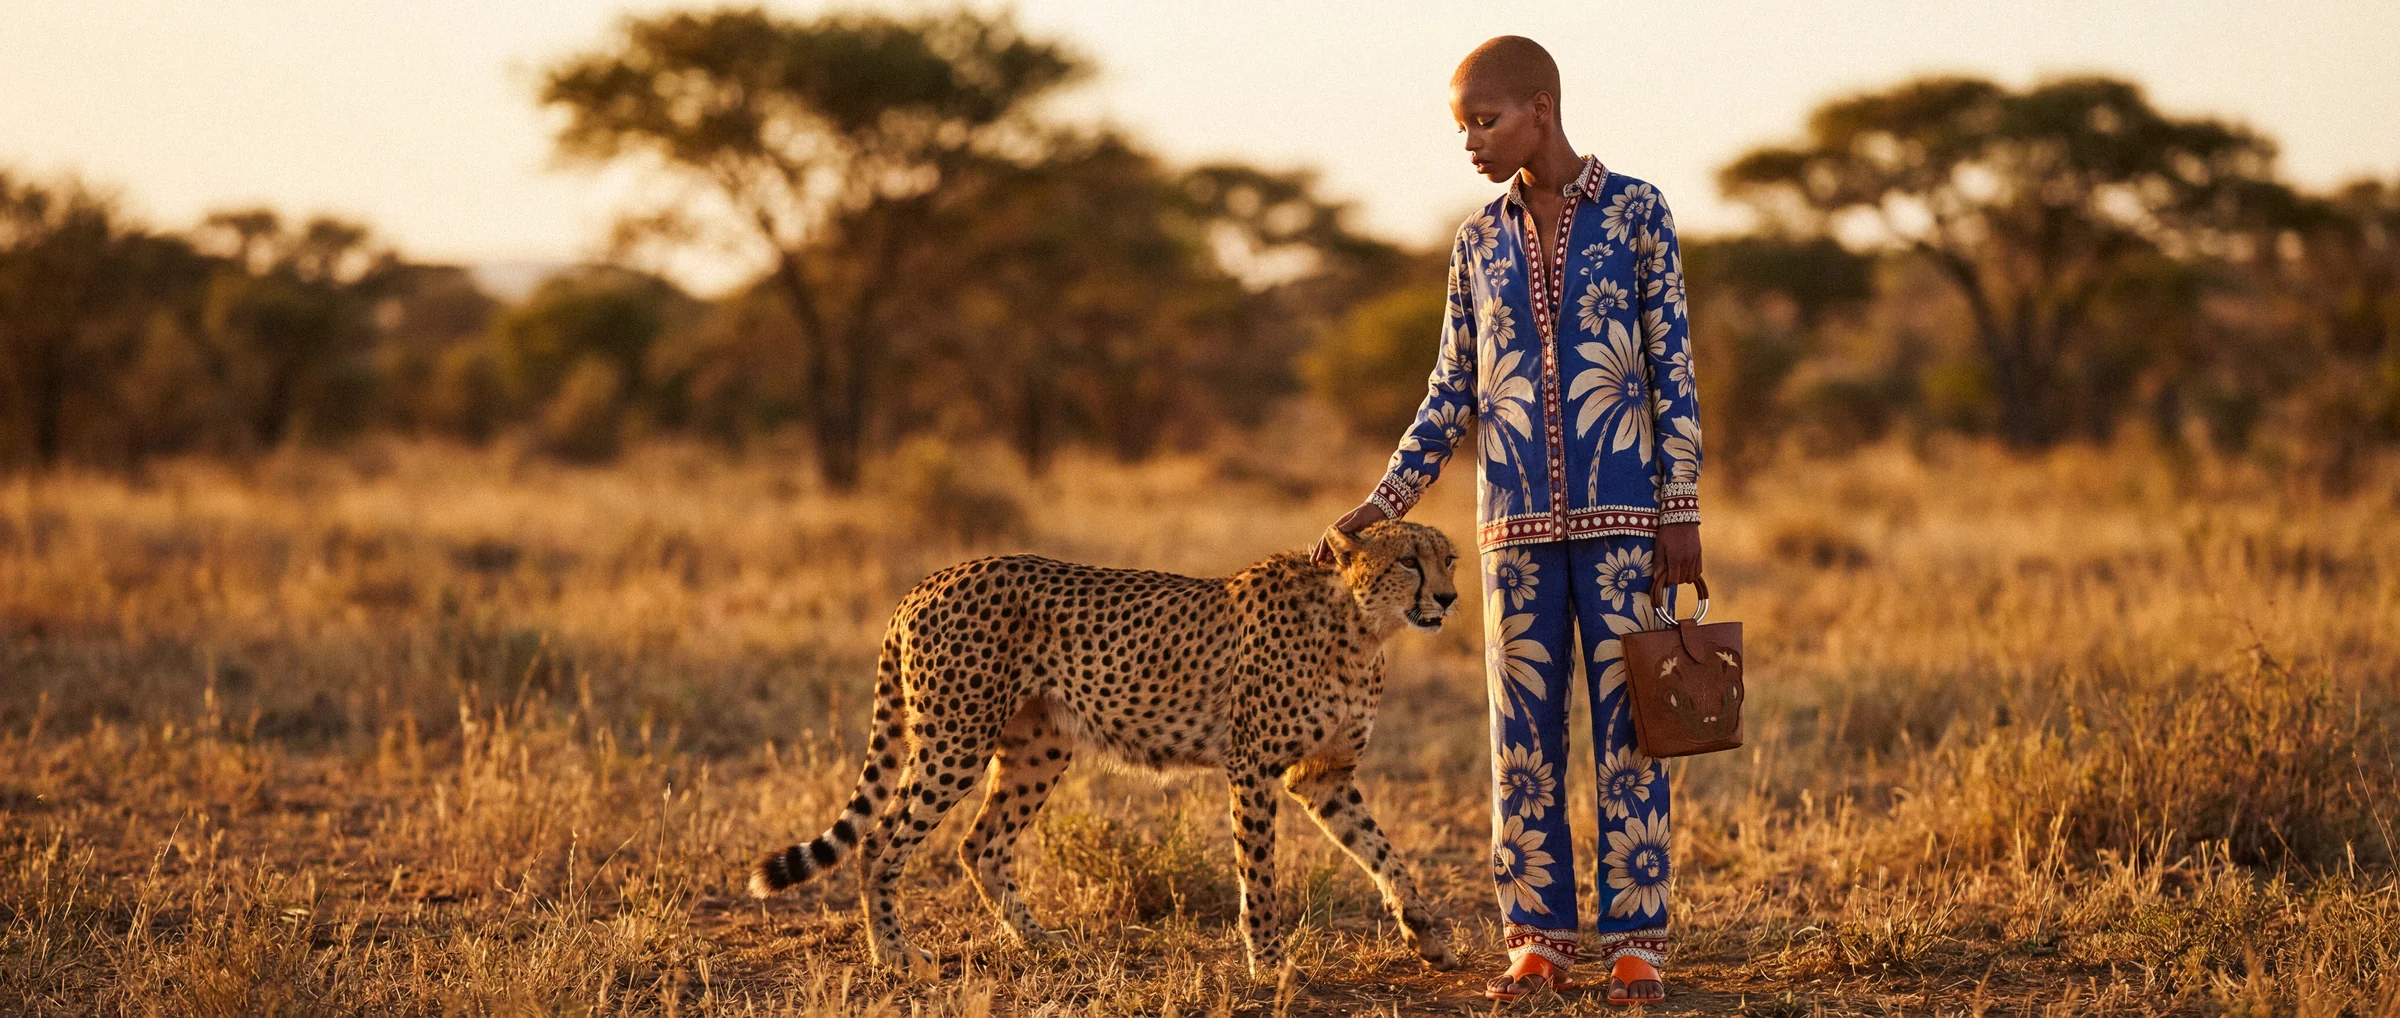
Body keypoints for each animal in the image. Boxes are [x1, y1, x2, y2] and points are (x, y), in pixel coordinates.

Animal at [748, 520, 1463, 980]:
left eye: (1449, 560)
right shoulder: (1255, 769)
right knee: (880, 842)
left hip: (1037, 747)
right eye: (1409, 560)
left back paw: (1041, 942)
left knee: (980, 844)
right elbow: (1259, 874)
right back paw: (895, 956)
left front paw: (1425, 933)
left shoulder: (1325, 775)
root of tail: (930, 580)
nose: (1450, 597)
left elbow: (1385, 853)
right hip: (956, 741)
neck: (1359, 628)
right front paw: (1268, 961)